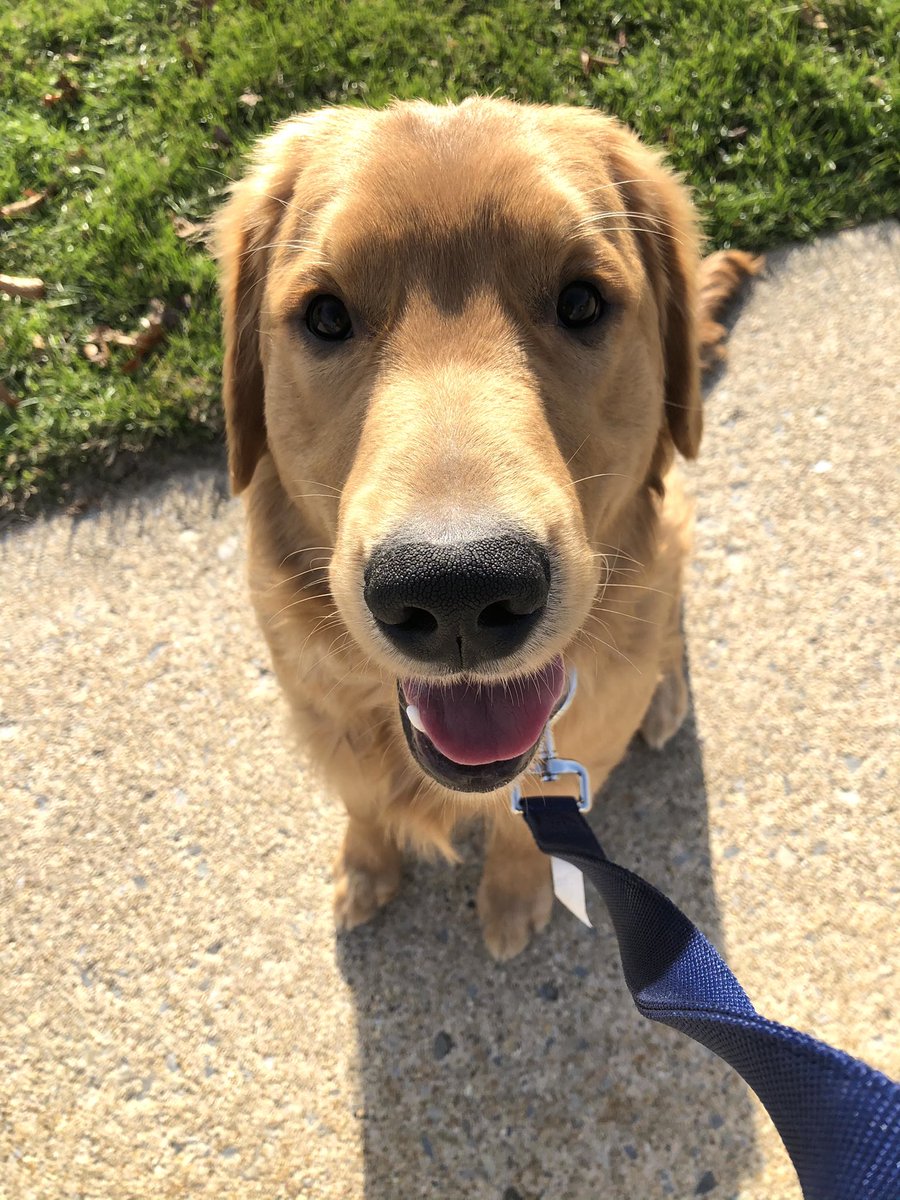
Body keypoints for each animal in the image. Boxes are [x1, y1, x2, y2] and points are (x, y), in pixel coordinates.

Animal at [214, 98, 758, 960]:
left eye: (582, 302)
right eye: (325, 314)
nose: (458, 591)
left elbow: (527, 829)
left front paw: (512, 895)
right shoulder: (321, 714)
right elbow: (362, 800)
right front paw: (364, 866)